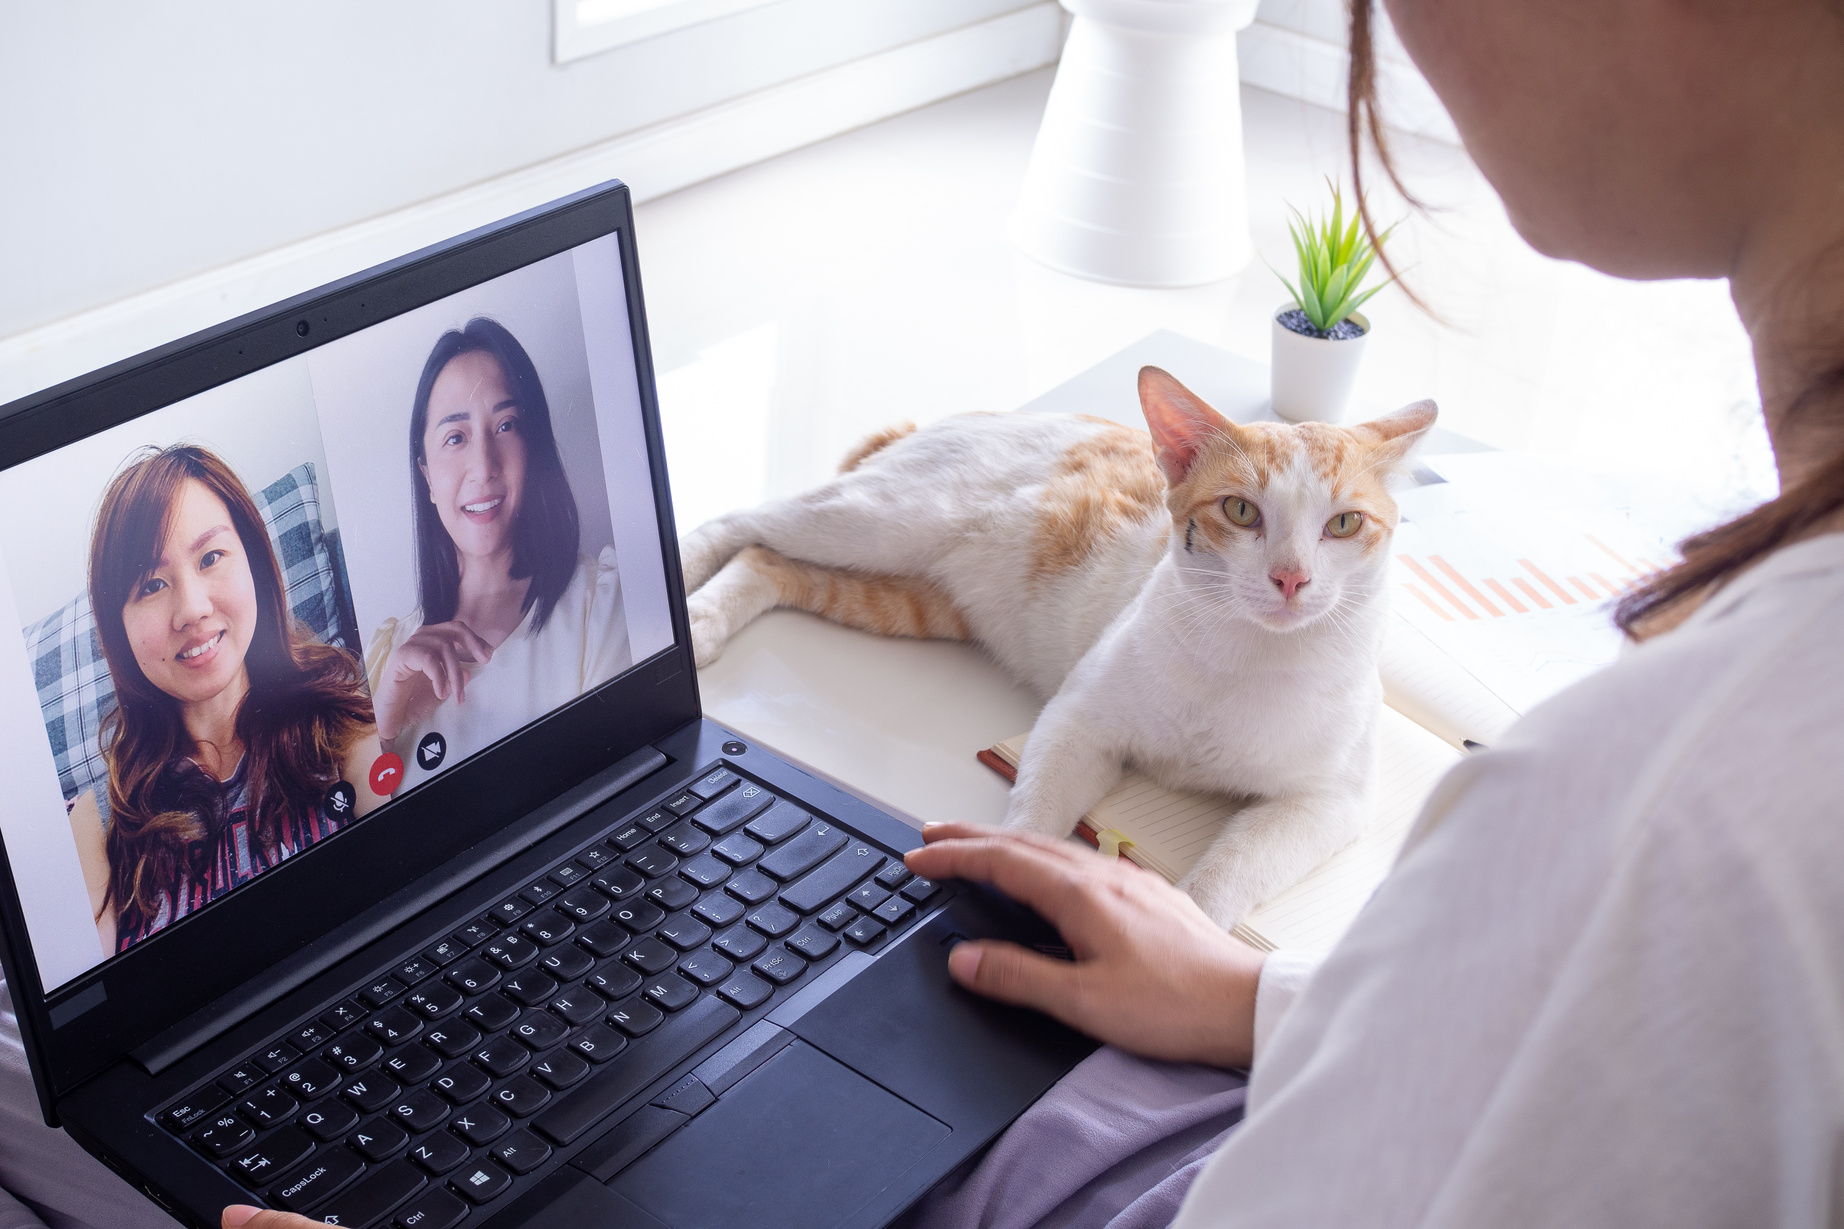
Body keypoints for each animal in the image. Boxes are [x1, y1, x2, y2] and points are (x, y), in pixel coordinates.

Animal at [682, 369, 1438, 922]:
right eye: (1241, 510)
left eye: (1345, 524)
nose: (1291, 577)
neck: (1247, 658)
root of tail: (967, 416)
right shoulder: (1081, 722)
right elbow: (1035, 818)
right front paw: (1019, 878)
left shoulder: (1325, 804)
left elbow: (1232, 870)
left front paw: (1181, 926)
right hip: (875, 521)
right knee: (737, 523)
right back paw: (679, 606)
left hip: (910, 597)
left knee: (766, 562)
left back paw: (705, 619)